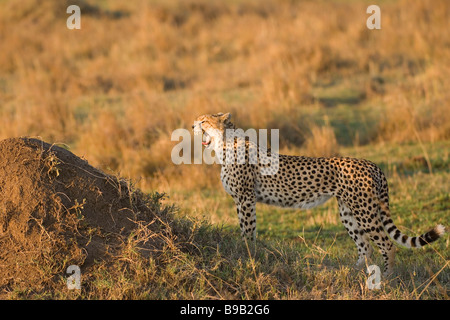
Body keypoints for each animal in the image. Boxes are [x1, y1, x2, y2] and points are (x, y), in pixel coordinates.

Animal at [192, 112, 444, 276]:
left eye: (204, 120)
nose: (193, 125)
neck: (225, 145)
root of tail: (372, 163)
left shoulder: (245, 199)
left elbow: (247, 230)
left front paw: (247, 255)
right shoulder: (242, 199)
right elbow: (247, 229)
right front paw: (249, 255)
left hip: (364, 211)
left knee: (386, 245)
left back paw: (388, 277)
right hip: (348, 212)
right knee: (366, 245)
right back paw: (356, 272)